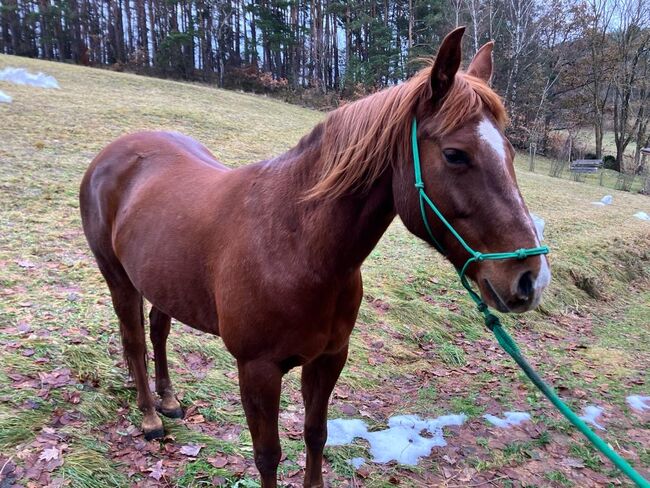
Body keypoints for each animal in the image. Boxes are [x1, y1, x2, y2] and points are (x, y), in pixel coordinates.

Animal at [79, 28, 548, 486]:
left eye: (510, 154)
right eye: (455, 155)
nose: (531, 278)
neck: (297, 248)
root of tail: (113, 153)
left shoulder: (329, 358)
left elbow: (316, 434)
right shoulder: (258, 371)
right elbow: (268, 456)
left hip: (162, 280)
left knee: (158, 331)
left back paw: (170, 400)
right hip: (118, 279)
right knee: (134, 340)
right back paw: (150, 418)